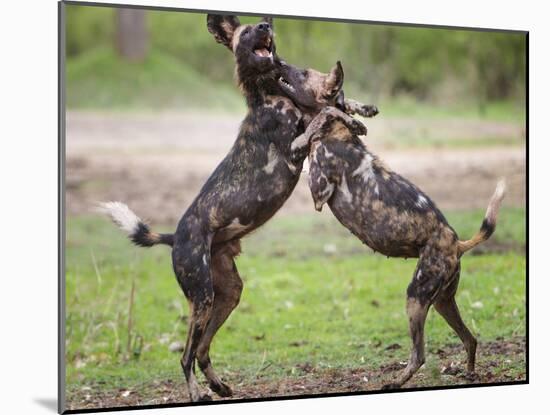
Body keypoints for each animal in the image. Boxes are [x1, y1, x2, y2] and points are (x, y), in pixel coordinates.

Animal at [101, 13, 378, 404]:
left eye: (259, 25)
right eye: (246, 32)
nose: (265, 25)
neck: (271, 94)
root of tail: (175, 236)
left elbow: (332, 102)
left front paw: (361, 110)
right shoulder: (296, 148)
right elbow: (325, 111)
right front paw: (351, 118)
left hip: (228, 294)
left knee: (202, 349)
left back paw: (219, 386)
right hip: (201, 298)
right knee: (187, 355)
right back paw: (197, 393)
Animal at [308, 102, 506, 388]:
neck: (341, 136)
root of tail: (457, 243)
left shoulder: (318, 194)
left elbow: (312, 137)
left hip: (416, 296)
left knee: (419, 355)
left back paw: (396, 381)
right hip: (442, 302)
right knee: (470, 339)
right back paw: (469, 373)